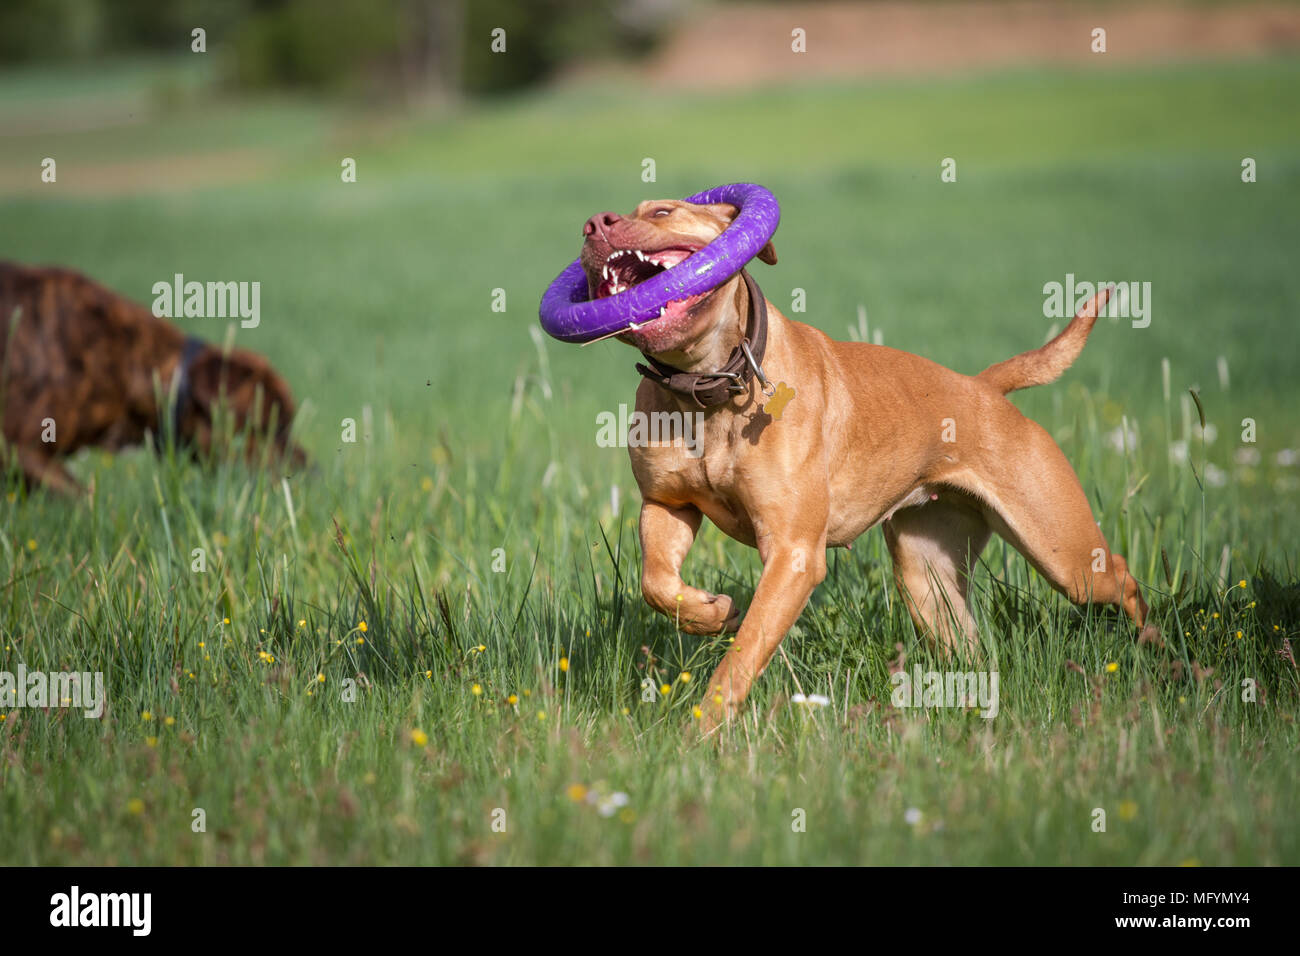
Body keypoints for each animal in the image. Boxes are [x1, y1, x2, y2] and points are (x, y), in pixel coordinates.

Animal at [579, 197, 1159, 728]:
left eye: (662, 212)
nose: (594, 222)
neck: (709, 385)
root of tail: (983, 387)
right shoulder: (666, 505)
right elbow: (657, 582)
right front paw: (711, 612)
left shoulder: (792, 553)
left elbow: (744, 652)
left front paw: (705, 729)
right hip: (927, 576)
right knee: (967, 643)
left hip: (1064, 555)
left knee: (1121, 579)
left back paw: (1153, 649)